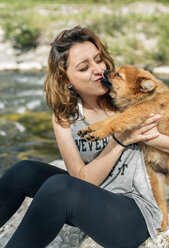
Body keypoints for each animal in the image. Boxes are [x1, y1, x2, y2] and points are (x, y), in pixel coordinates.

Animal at [77, 64, 169, 231]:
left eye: (118, 75)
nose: (106, 71)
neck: (147, 97)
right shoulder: (127, 112)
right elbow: (108, 120)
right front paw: (90, 128)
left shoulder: (136, 112)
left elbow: (115, 122)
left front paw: (98, 133)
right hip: (156, 178)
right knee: (161, 202)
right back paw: (162, 222)